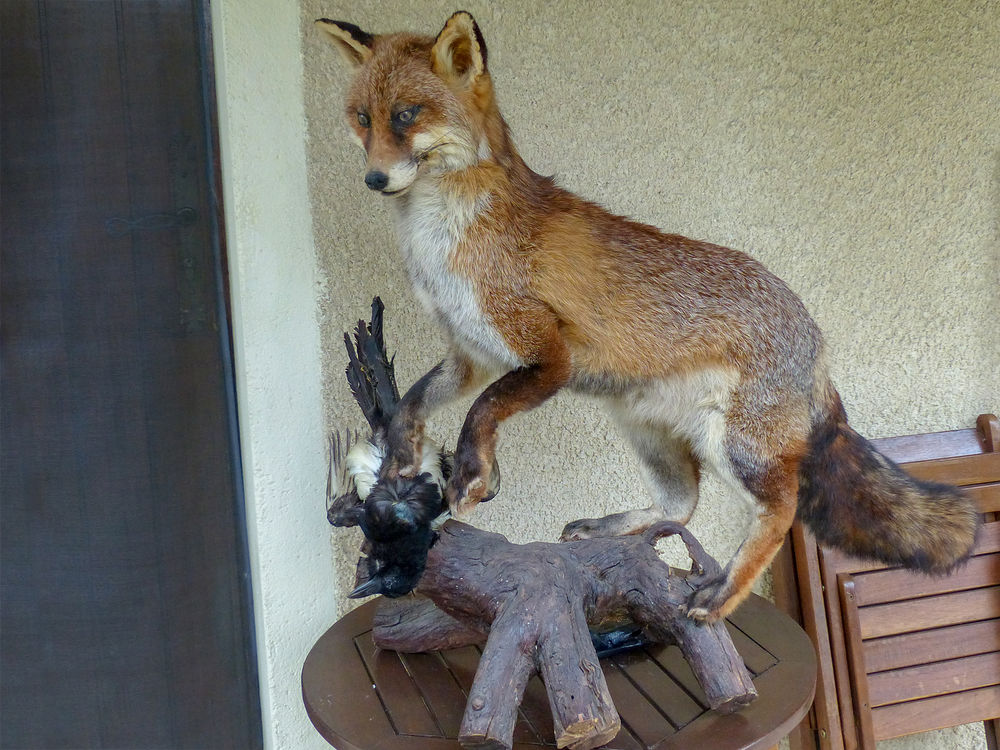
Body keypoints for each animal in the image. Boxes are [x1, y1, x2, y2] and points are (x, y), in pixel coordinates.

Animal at [314, 11, 980, 621]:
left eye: (407, 115)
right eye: (363, 118)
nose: (374, 177)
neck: (446, 241)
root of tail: (815, 336)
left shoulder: (546, 356)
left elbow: (485, 409)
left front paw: (474, 473)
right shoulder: (471, 353)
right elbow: (416, 401)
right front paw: (404, 454)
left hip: (734, 445)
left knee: (782, 509)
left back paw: (722, 594)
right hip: (646, 430)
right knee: (681, 506)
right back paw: (615, 528)